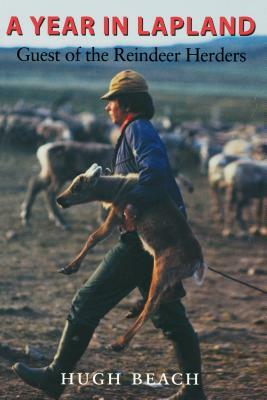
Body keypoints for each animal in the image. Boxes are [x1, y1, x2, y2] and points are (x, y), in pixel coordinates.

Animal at [55, 162, 204, 350]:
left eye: (77, 187)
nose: (59, 199)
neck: (118, 189)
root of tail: (199, 262)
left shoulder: (117, 213)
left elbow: (94, 237)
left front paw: (69, 268)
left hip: (162, 269)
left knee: (152, 305)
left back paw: (119, 343)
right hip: (170, 275)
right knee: (174, 294)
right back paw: (134, 310)